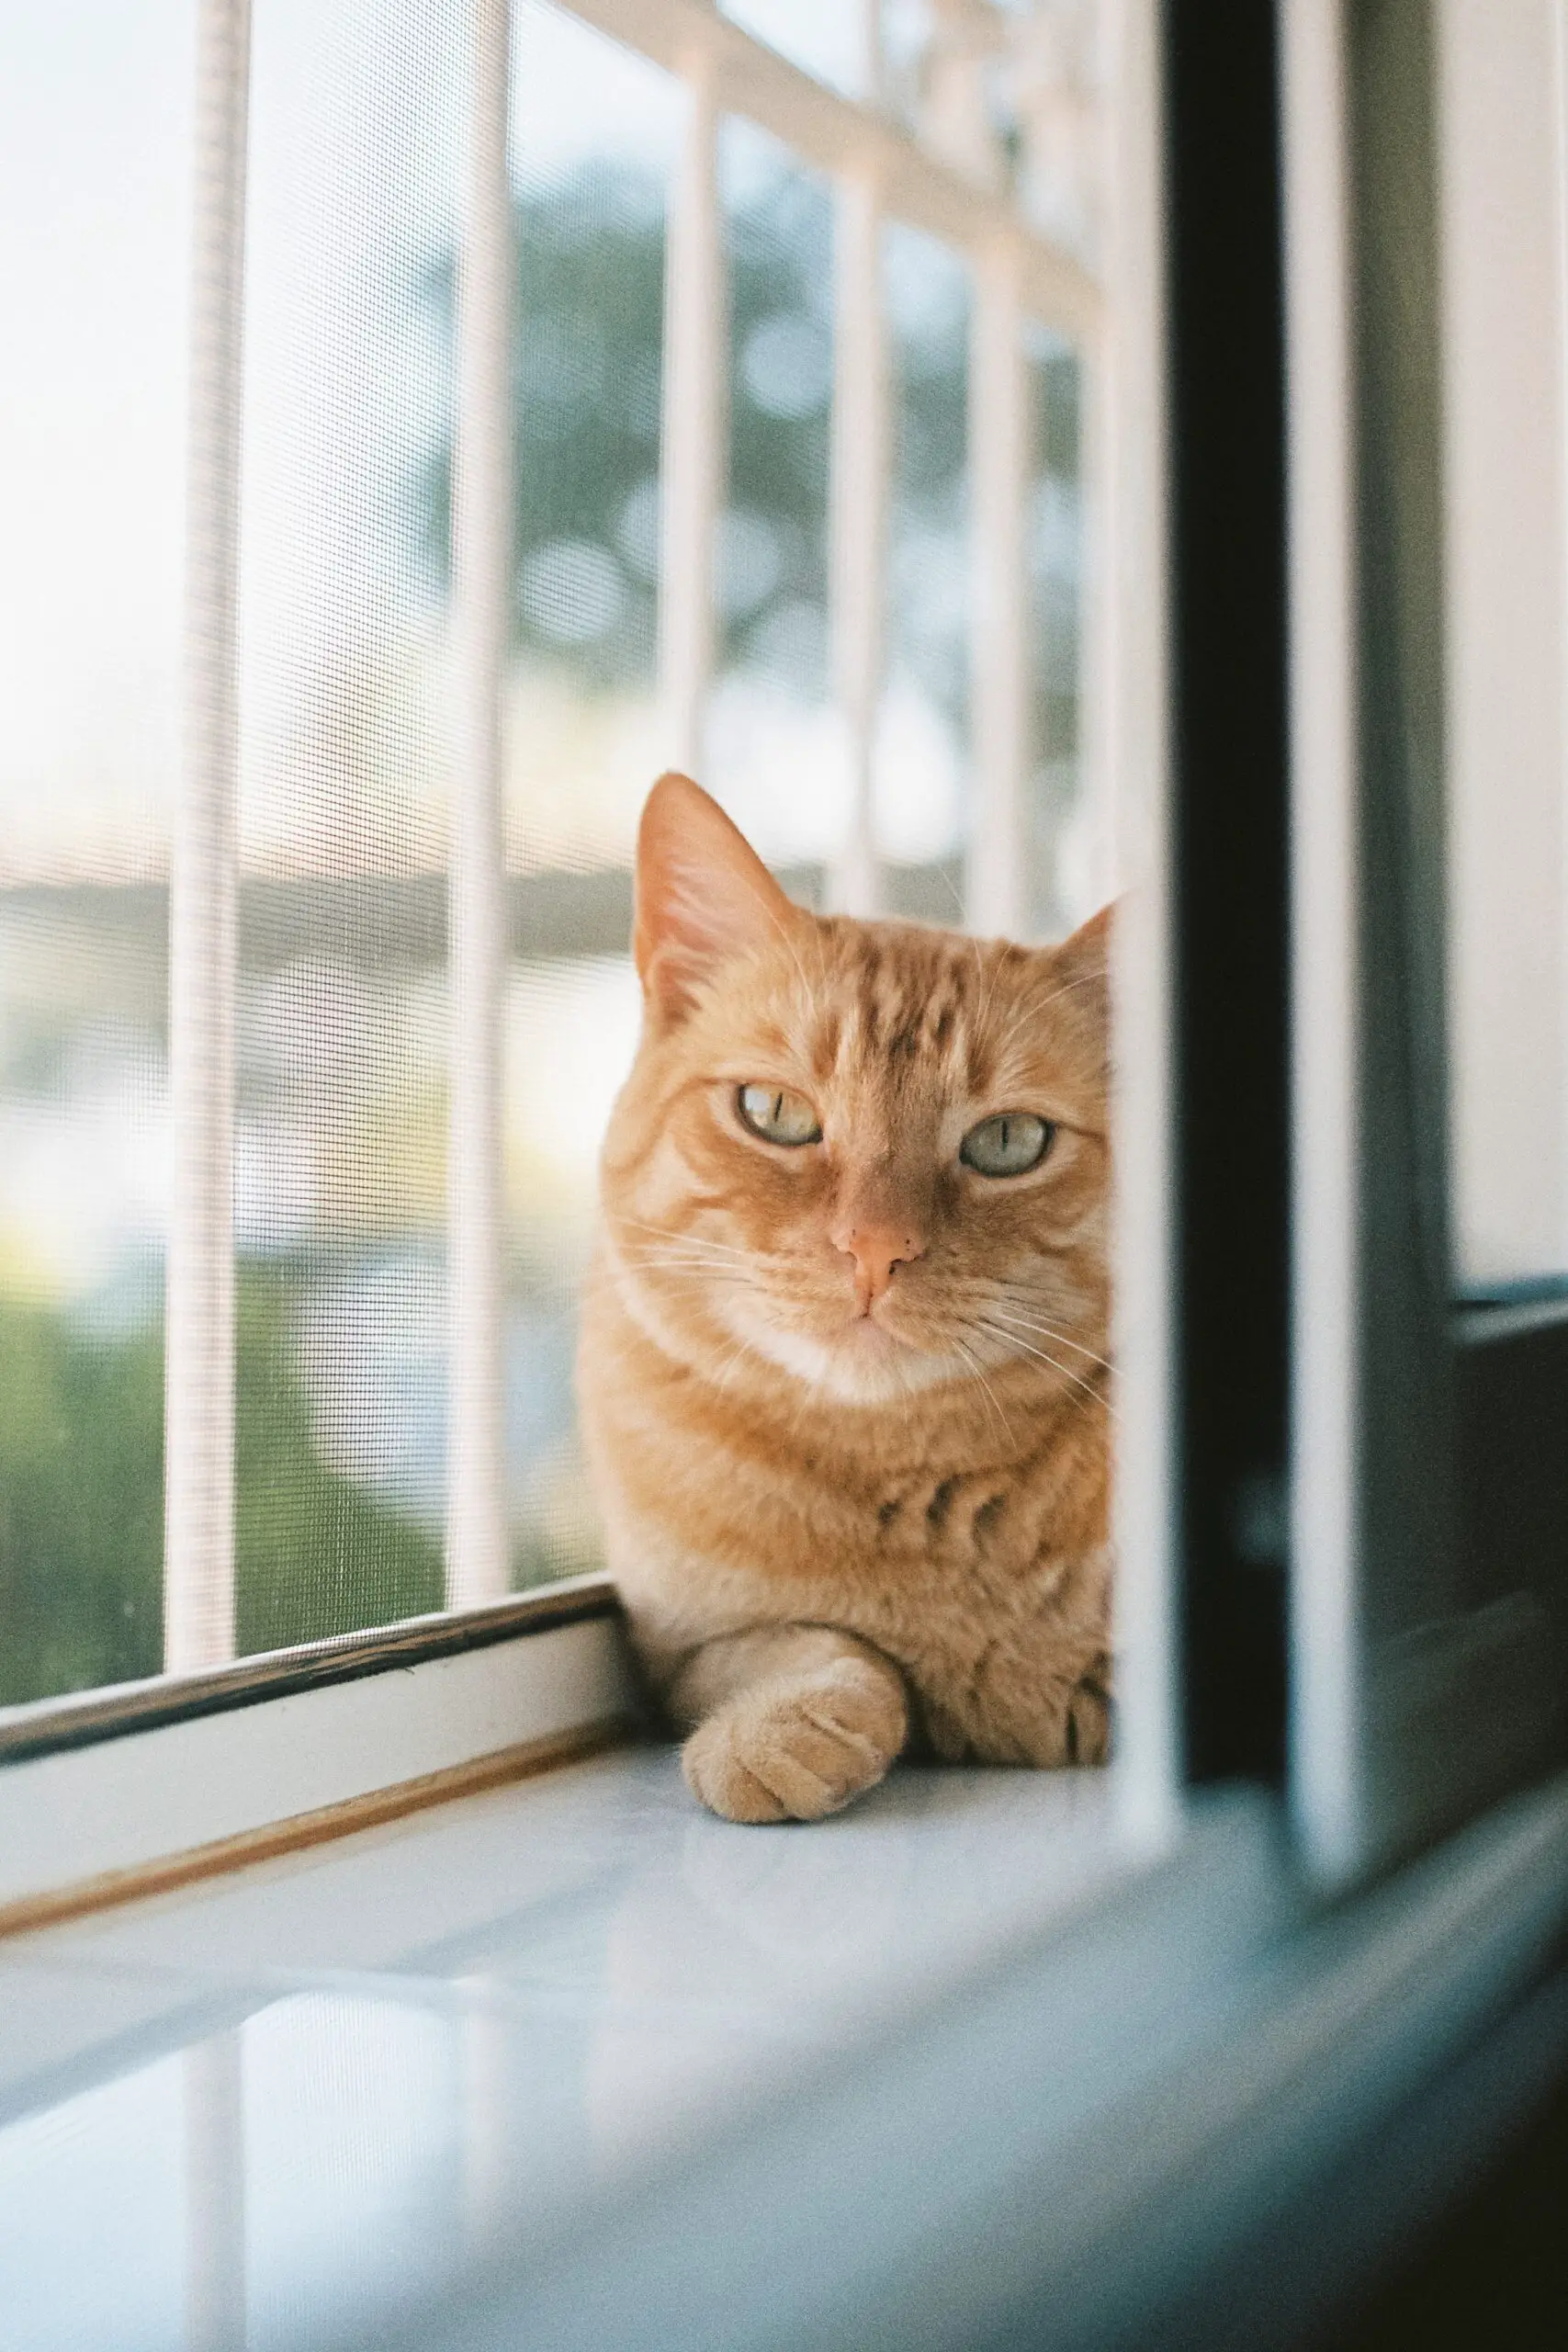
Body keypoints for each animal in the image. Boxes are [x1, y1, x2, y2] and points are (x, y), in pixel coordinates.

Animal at [581, 771, 1114, 1815]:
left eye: (1007, 1142)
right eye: (776, 1113)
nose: (874, 1249)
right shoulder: (681, 1648)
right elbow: (810, 1647)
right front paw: (782, 1727)